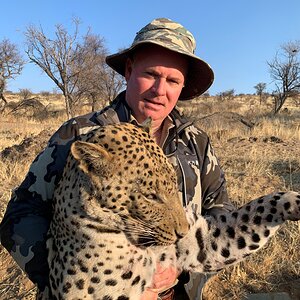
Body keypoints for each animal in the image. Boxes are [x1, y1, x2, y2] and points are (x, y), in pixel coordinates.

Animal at [37, 120, 300, 298]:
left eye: (175, 183)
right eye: (150, 196)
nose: (182, 232)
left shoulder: (200, 243)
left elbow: (252, 215)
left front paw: (294, 199)